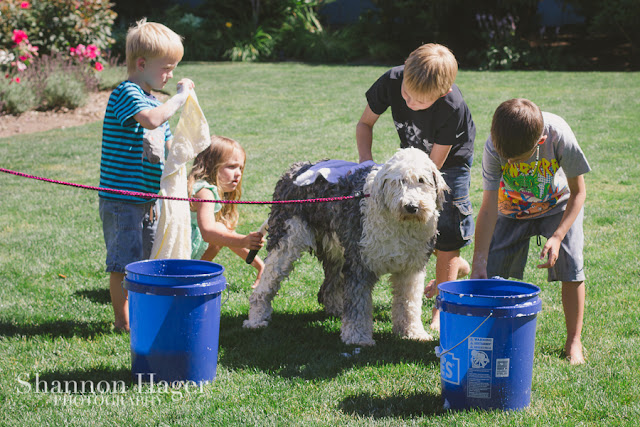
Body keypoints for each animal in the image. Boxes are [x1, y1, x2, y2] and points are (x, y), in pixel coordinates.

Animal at [242, 148, 448, 348]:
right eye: (399, 182)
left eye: (421, 180)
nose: (411, 206)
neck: (399, 223)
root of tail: (295, 169)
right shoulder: (359, 264)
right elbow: (358, 304)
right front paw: (357, 337)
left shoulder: (410, 269)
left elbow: (409, 303)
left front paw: (412, 333)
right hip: (287, 240)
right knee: (266, 283)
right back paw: (256, 319)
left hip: (336, 248)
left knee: (329, 286)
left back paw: (336, 309)